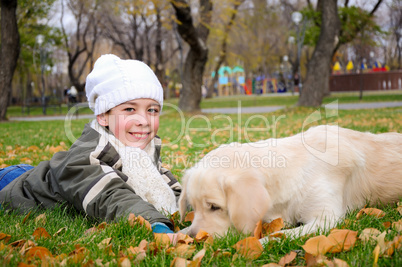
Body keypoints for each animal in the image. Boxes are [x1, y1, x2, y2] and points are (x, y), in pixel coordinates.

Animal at [179, 126, 402, 243]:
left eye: (215, 207)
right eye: (194, 207)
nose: (194, 238)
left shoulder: (325, 219)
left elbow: (277, 235)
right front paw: (179, 235)